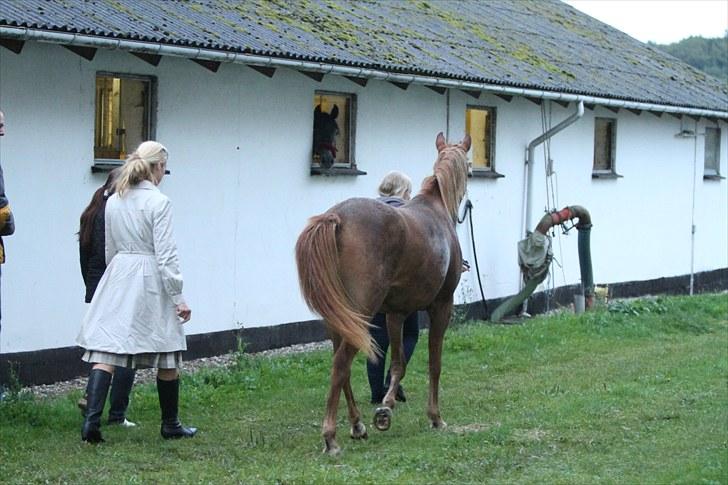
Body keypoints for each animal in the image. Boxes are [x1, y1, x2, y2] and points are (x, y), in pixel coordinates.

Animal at [296, 132, 472, 454]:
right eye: (469, 166)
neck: (435, 209)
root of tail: (336, 218)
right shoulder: (442, 307)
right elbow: (434, 363)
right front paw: (435, 417)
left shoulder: (395, 314)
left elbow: (398, 363)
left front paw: (385, 409)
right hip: (361, 315)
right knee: (341, 364)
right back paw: (330, 437)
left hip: (341, 320)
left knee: (342, 367)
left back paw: (357, 425)